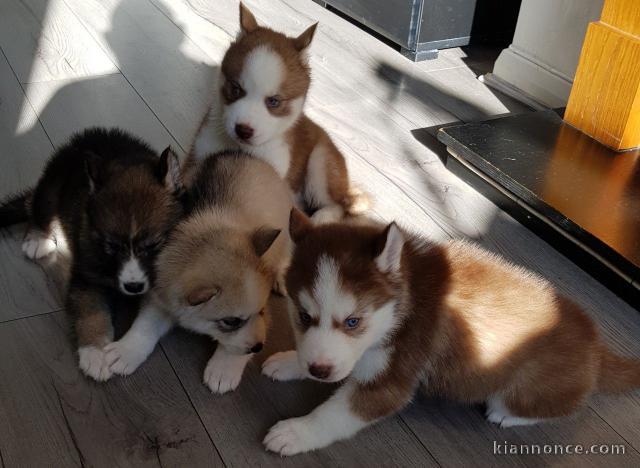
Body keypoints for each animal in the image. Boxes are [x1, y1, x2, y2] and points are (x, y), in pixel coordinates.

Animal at [0, 127, 185, 380]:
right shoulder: (87, 275)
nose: (133, 287)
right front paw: (95, 354)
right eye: (111, 246)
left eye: (153, 245)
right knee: (38, 206)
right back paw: (38, 238)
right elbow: (91, 311)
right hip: (52, 182)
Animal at [104, 152, 292, 394]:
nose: (259, 347)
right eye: (231, 321)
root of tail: (245, 155)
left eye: (261, 311)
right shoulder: (161, 299)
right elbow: (145, 325)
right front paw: (126, 350)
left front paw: (224, 369)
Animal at [190, 3, 368, 223]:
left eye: (274, 101)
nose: (243, 130)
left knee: (339, 205)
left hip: (321, 162)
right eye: (236, 89)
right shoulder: (198, 155)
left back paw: (322, 217)